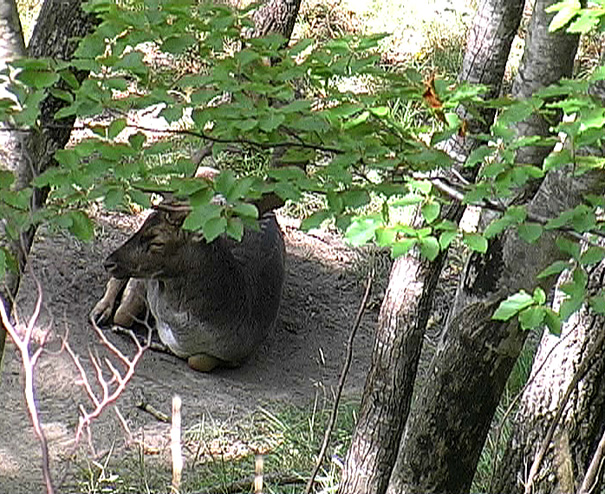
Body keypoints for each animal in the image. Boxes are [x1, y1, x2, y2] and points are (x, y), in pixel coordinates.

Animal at [89, 178, 286, 370]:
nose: (109, 262)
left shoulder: (242, 354)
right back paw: (99, 312)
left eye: (158, 241)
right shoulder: (149, 279)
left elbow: (198, 361)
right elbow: (123, 314)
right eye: (143, 226)